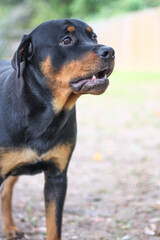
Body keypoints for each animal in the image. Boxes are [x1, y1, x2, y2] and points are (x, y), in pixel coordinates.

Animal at [0, 19, 115, 240]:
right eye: (66, 40)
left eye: (93, 37)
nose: (110, 51)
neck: (44, 115)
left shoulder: (57, 176)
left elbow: (54, 225)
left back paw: (10, 228)